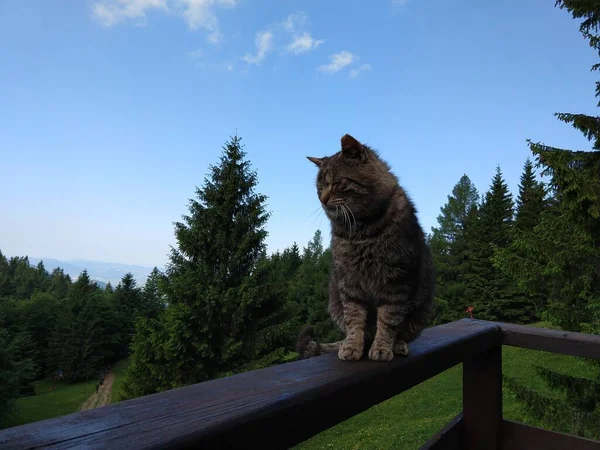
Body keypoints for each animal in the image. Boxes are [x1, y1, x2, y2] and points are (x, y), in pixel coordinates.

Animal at [296, 134, 434, 362]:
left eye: (336, 182)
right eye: (319, 188)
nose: (322, 200)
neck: (362, 231)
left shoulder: (396, 281)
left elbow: (388, 319)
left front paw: (382, 347)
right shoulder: (349, 282)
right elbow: (354, 318)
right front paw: (352, 346)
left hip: (421, 310)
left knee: (400, 331)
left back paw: (397, 345)